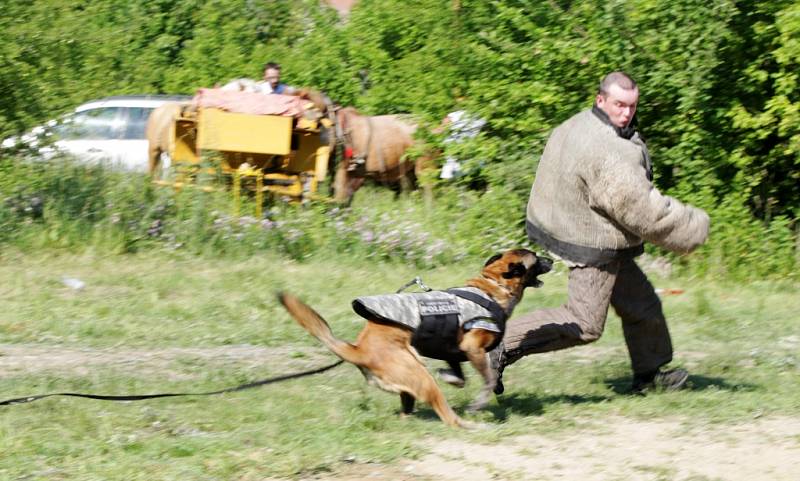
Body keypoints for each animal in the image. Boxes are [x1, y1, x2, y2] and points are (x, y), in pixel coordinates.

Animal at [280, 249, 552, 426]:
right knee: (448, 417)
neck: (492, 286)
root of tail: (359, 349)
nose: (551, 259)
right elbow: (488, 378)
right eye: (536, 259)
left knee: (408, 406)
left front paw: (453, 378)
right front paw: (480, 402)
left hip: (410, 377)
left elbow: (459, 374)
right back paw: (468, 424)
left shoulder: (452, 349)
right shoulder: (472, 347)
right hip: (422, 376)